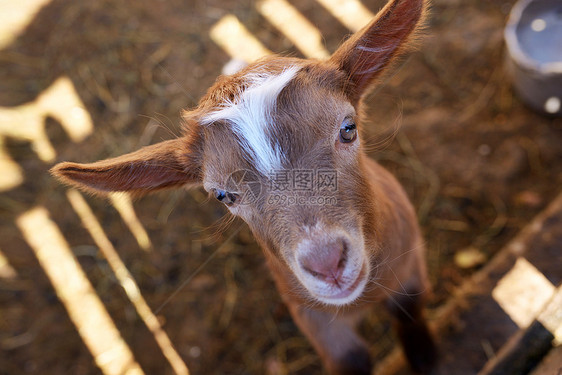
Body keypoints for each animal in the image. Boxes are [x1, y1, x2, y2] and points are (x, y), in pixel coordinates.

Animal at [51, 1, 434, 374]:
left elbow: (411, 314)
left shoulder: (411, 264)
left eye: (348, 129)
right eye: (223, 195)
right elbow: (349, 358)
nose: (327, 264)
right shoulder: (312, 314)